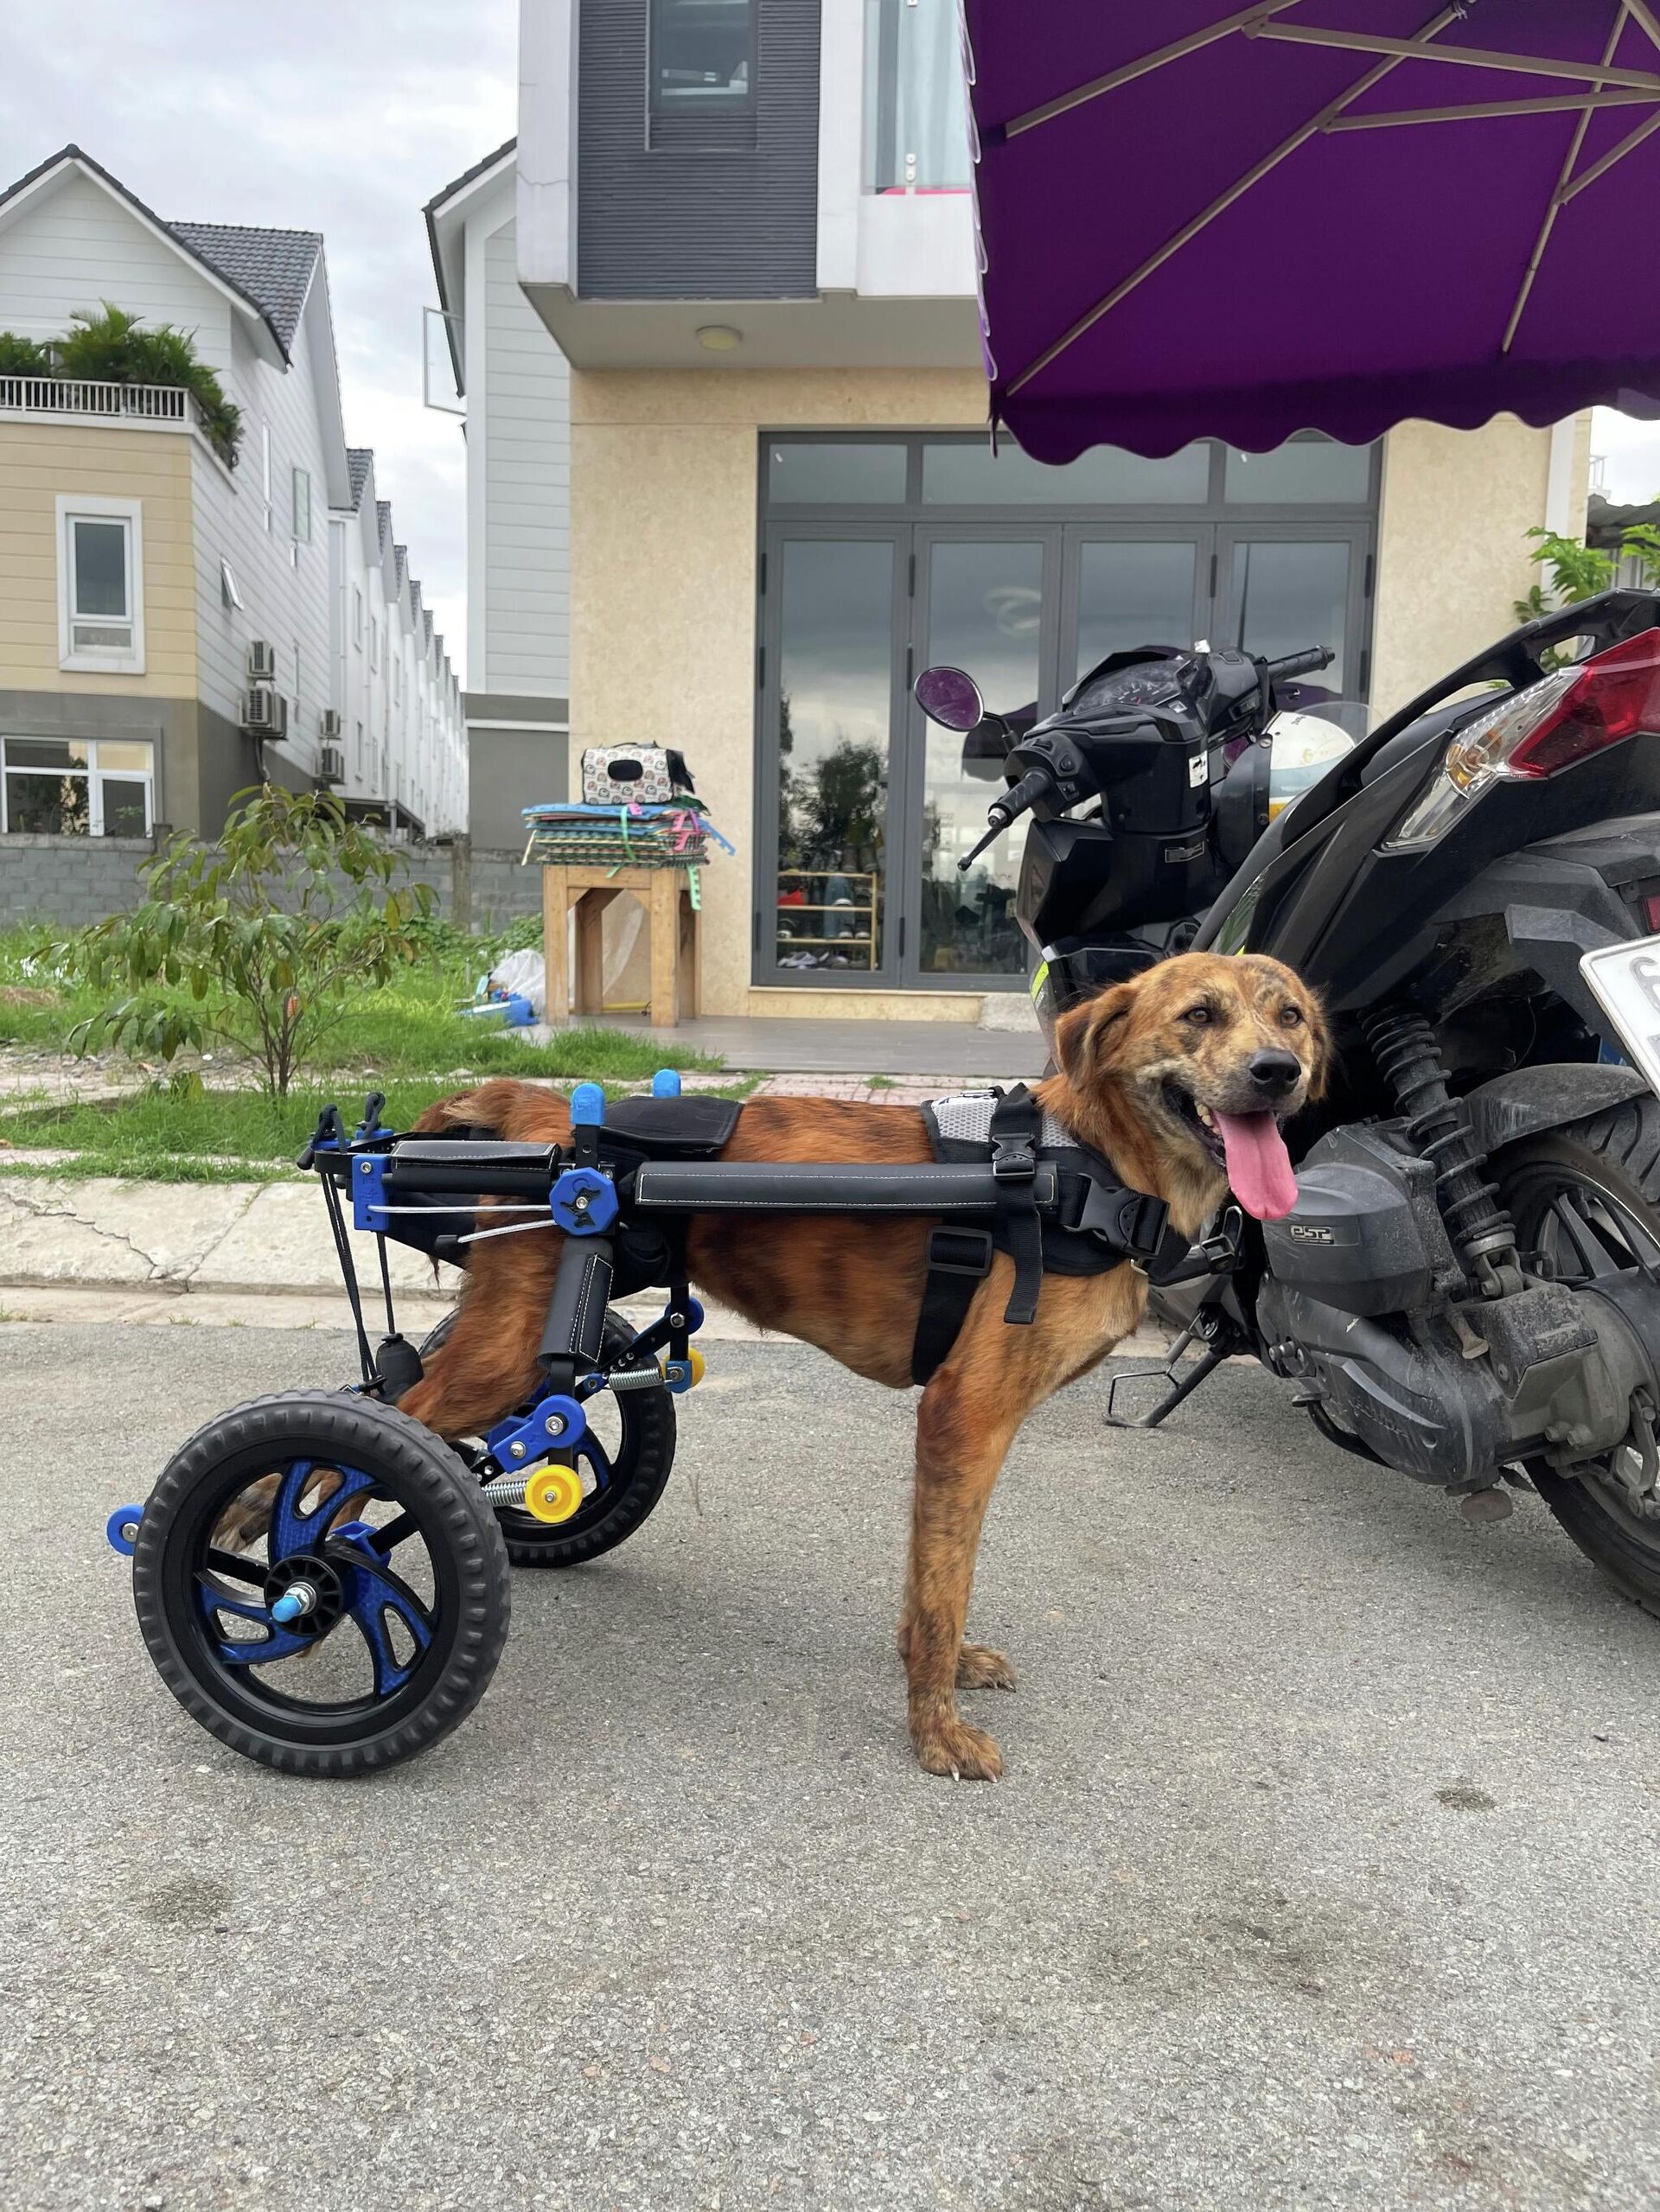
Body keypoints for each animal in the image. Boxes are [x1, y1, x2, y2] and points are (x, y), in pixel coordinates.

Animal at [400, 951, 1328, 1778]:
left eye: (1290, 1016)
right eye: (1199, 1014)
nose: (1278, 1071)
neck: (1088, 1166)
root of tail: (545, 1109)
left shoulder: (949, 1435)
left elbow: (930, 1578)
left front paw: (932, 1668)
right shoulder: (966, 1415)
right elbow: (948, 1582)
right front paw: (936, 1731)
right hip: (505, 1354)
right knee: (391, 1435)